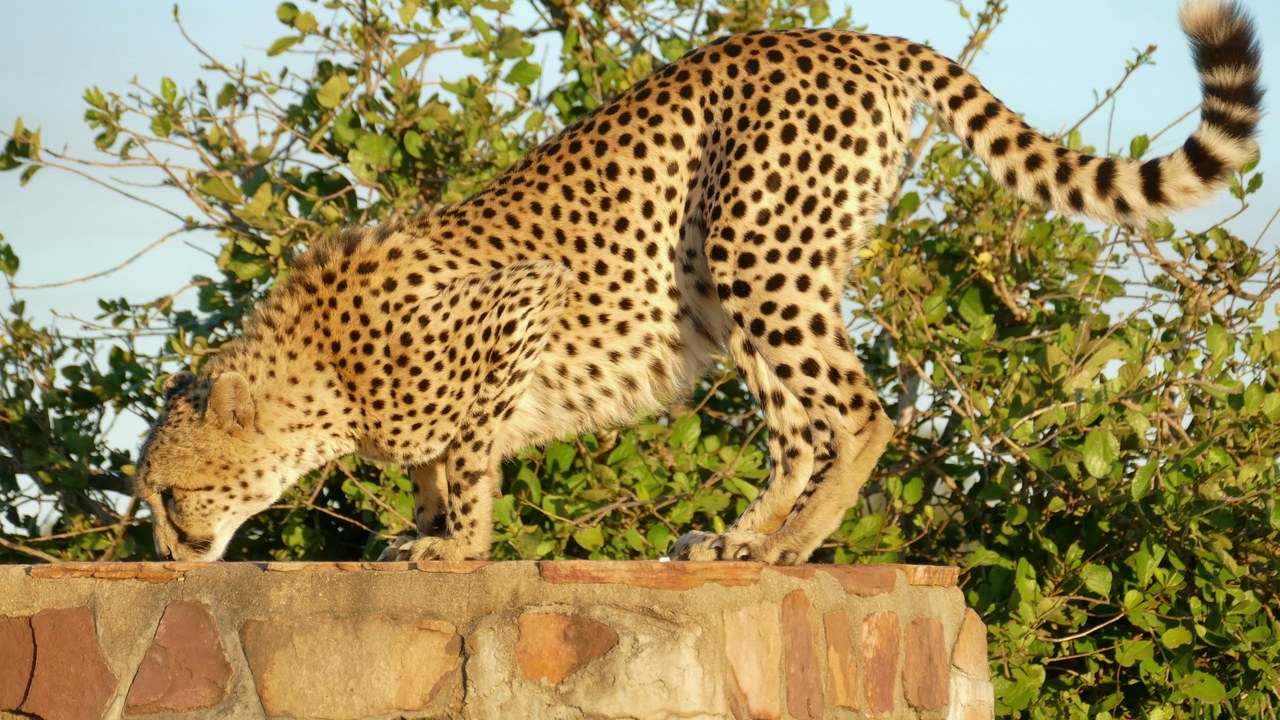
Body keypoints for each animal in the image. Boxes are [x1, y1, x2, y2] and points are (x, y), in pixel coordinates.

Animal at [135, 0, 1262, 564]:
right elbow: (429, 466)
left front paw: (454, 549)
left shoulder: (521, 305)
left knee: (858, 413)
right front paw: (418, 531)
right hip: (746, 281)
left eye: (165, 491)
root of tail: (840, 34)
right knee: (800, 426)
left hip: (754, 251)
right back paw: (736, 538)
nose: (169, 550)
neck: (315, 379)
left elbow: (466, 458)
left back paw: (788, 546)